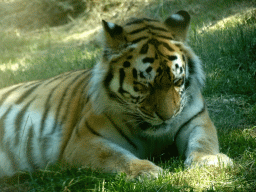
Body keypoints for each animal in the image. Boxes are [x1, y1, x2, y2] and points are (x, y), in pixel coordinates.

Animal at [0, 10, 233, 178]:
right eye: (144, 86)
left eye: (176, 82)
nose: (167, 117)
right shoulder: (83, 140)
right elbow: (114, 156)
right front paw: (147, 171)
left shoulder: (197, 120)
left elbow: (203, 141)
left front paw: (211, 160)